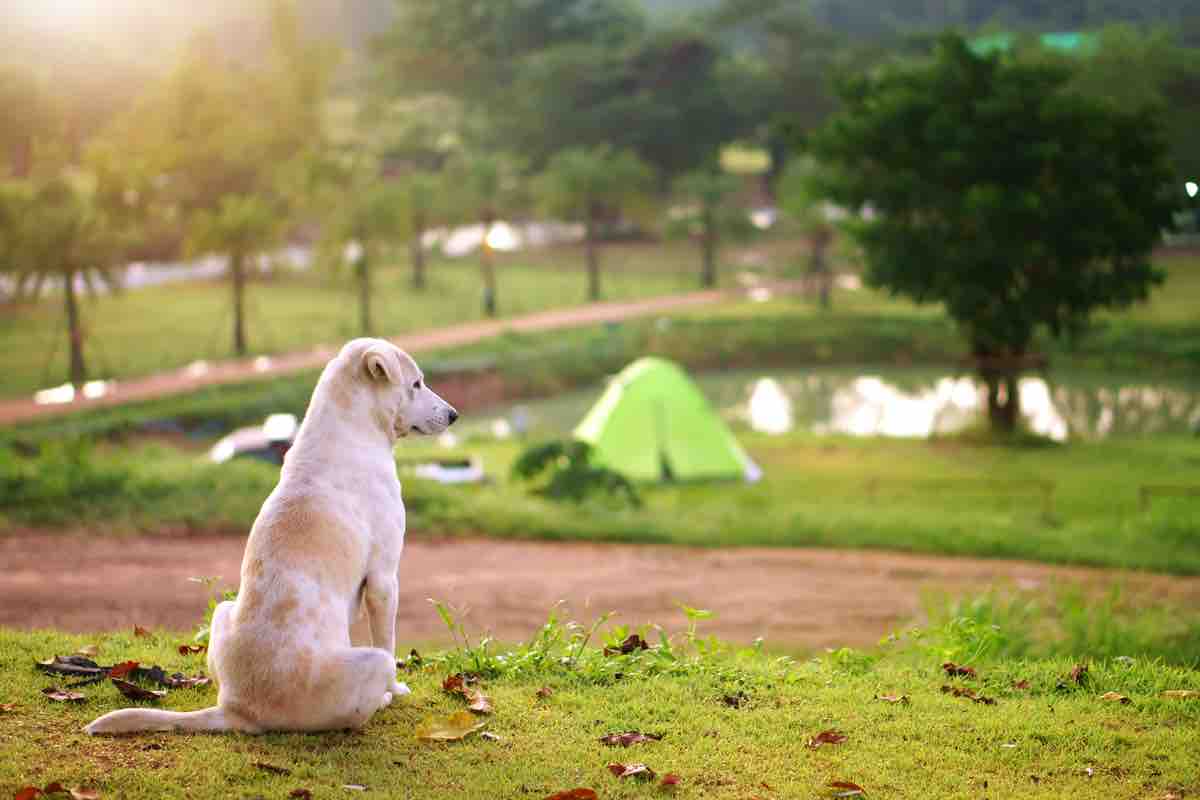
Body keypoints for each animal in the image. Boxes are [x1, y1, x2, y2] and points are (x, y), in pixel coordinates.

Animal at [85, 338, 458, 734]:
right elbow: (388, 638)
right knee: (369, 690)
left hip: (224, 609)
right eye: (416, 384)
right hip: (371, 663)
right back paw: (384, 698)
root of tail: (236, 709)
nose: (454, 415)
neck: (350, 431)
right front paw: (399, 691)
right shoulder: (384, 581)